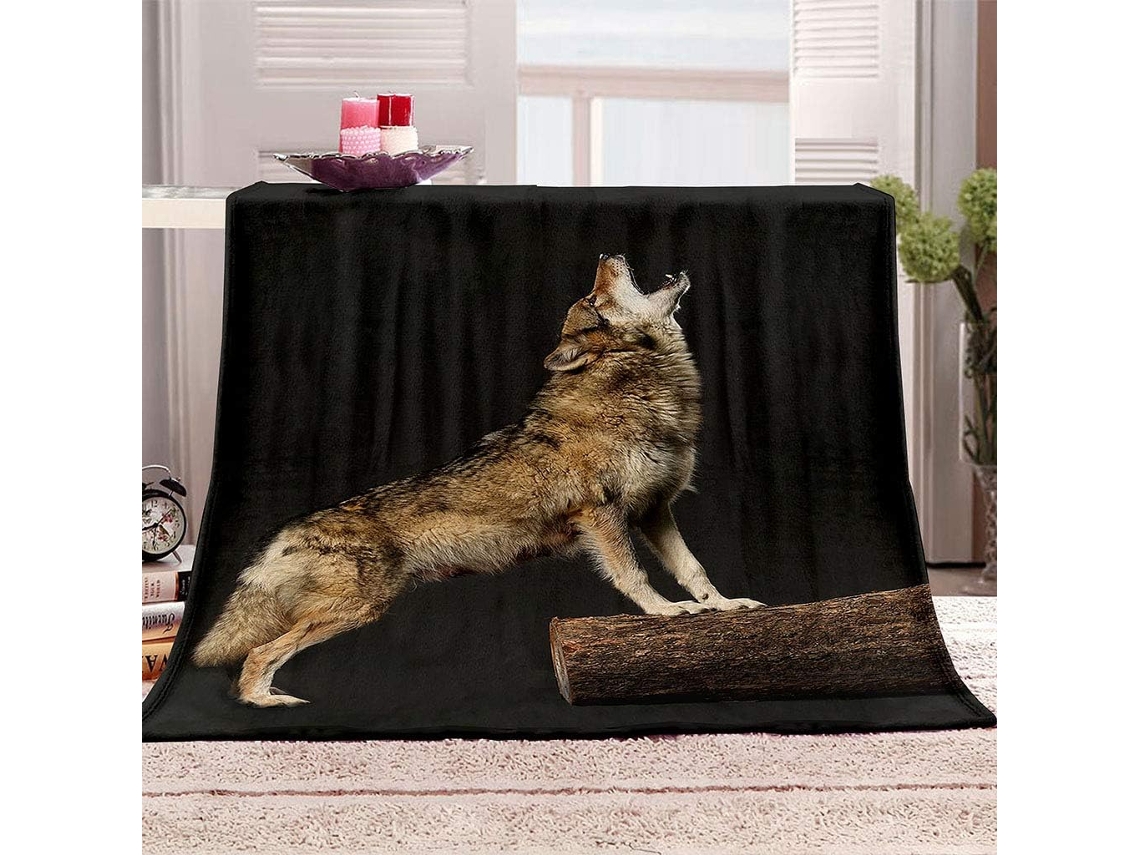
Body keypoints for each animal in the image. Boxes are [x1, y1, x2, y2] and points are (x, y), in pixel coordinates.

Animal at [193, 255, 765, 706]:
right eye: (593, 294)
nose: (607, 254)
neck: (636, 388)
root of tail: (284, 534)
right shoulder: (601, 516)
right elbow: (636, 577)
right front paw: (664, 613)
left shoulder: (655, 511)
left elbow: (694, 568)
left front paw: (723, 606)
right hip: (354, 611)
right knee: (258, 653)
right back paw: (267, 702)